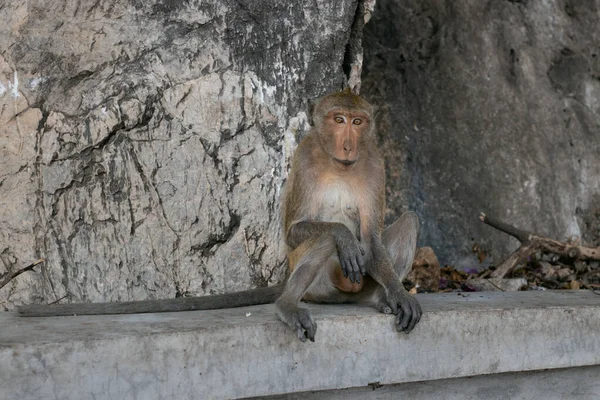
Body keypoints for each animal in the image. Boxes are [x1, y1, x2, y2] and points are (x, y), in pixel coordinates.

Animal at [18, 90, 422, 344]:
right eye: (339, 119)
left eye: (358, 121)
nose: (349, 143)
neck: (339, 163)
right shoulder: (306, 158)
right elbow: (298, 231)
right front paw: (344, 237)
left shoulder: (374, 163)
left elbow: (372, 238)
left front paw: (399, 294)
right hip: (321, 286)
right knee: (323, 240)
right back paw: (288, 304)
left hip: (355, 285)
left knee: (408, 222)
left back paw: (381, 298)